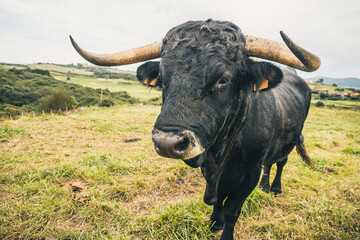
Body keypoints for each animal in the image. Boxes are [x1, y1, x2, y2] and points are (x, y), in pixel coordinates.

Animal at [70, 20, 318, 240]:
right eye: (162, 78)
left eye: (223, 79)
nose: (167, 143)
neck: (220, 153)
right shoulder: (211, 171)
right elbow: (218, 199)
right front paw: (215, 222)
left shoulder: (250, 173)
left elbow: (232, 210)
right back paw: (265, 186)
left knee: (280, 162)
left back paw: (274, 187)